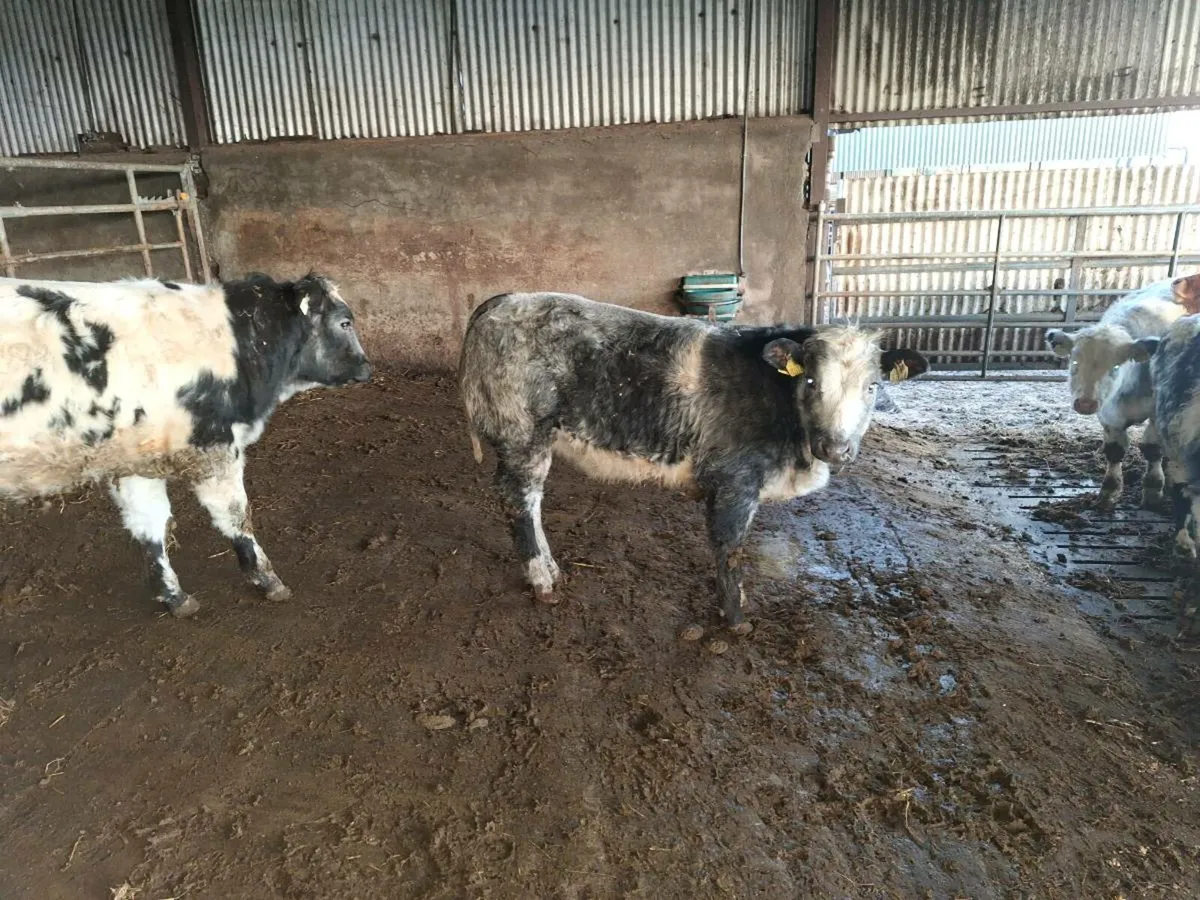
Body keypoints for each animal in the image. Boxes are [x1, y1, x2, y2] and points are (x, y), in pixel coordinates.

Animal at [0, 273, 371, 617]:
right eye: (344, 322)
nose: (367, 367)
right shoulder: (215, 449)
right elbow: (236, 517)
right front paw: (267, 579)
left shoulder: (136, 458)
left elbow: (151, 525)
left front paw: (173, 596)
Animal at [459, 292, 927, 632]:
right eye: (811, 381)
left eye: (873, 386)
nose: (835, 448)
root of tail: (502, 301)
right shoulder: (735, 480)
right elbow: (730, 548)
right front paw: (736, 619)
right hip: (523, 435)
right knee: (520, 502)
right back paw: (542, 579)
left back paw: (553, 569)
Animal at [1045, 274, 1200, 508]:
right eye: (1074, 362)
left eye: (1116, 367)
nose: (1085, 403)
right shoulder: (1108, 414)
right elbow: (1114, 451)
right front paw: (1108, 492)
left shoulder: (1157, 413)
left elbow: (1152, 449)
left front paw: (1153, 490)